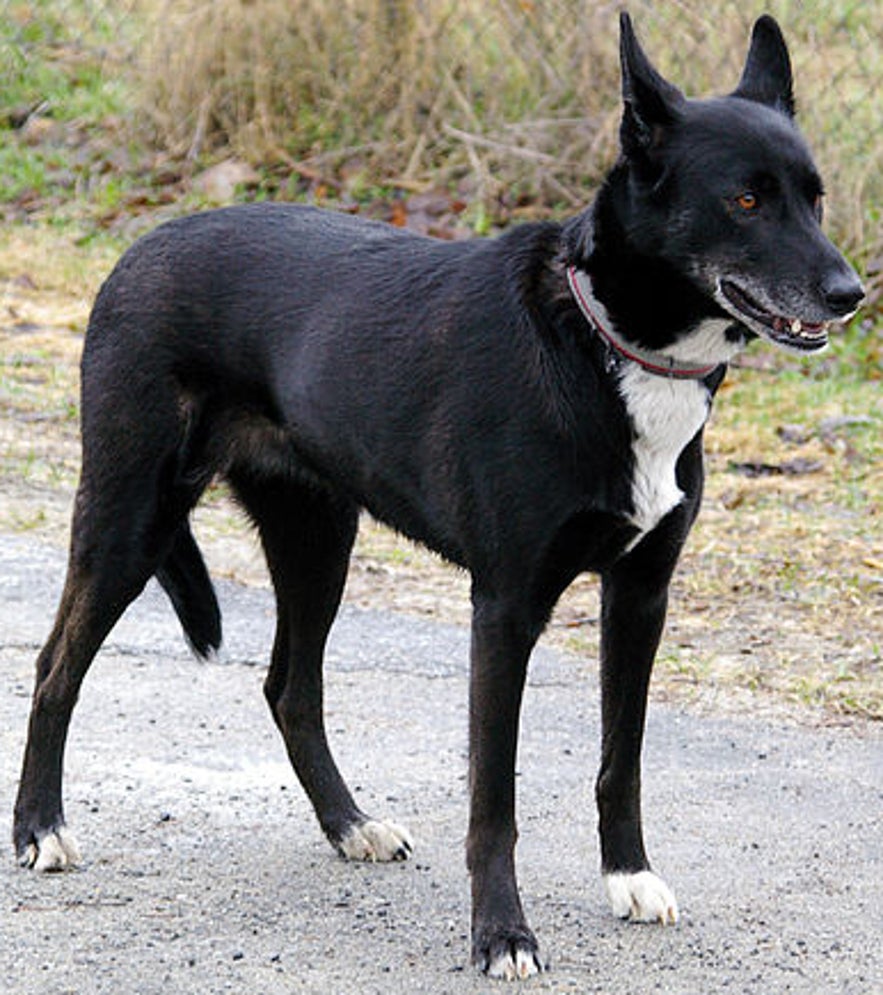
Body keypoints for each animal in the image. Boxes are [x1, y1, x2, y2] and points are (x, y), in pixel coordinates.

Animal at [13, 11, 864, 984]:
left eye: (814, 198)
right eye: (745, 202)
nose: (850, 294)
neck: (607, 343)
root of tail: (139, 248)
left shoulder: (641, 594)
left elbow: (622, 760)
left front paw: (627, 876)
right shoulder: (504, 609)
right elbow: (494, 798)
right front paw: (502, 934)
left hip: (317, 537)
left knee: (289, 688)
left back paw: (349, 823)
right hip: (130, 518)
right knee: (56, 667)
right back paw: (40, 828)